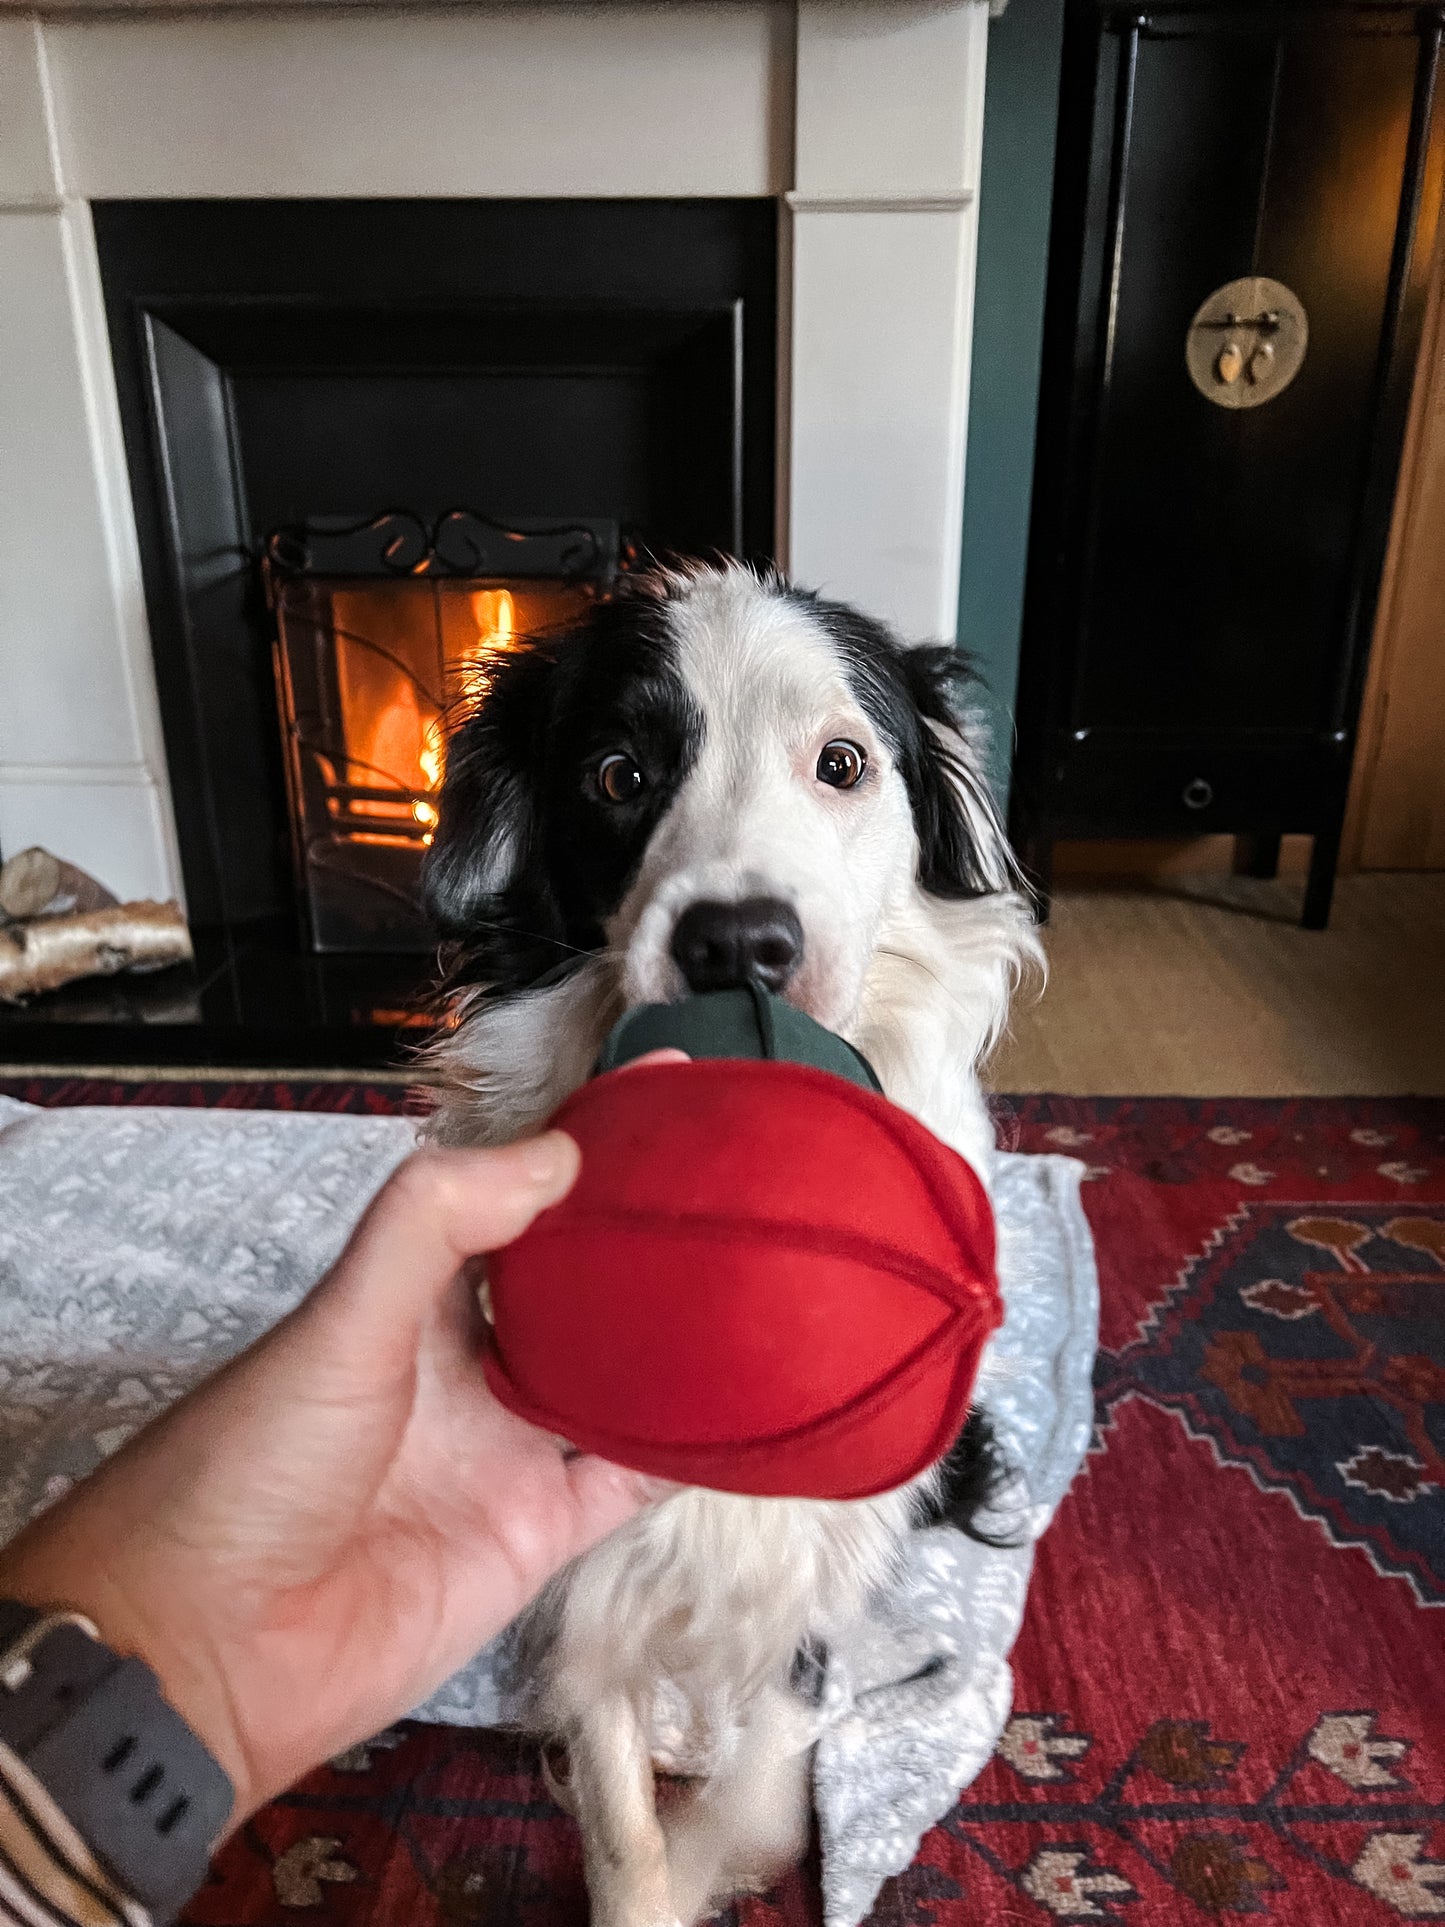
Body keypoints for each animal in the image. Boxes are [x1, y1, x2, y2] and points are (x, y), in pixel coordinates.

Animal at [423, 562, 1032, 1927]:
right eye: (616, 775)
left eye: (841, 763)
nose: (738, 944)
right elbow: (615, 1782)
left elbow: (769, 1765)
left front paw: (727, 1845)